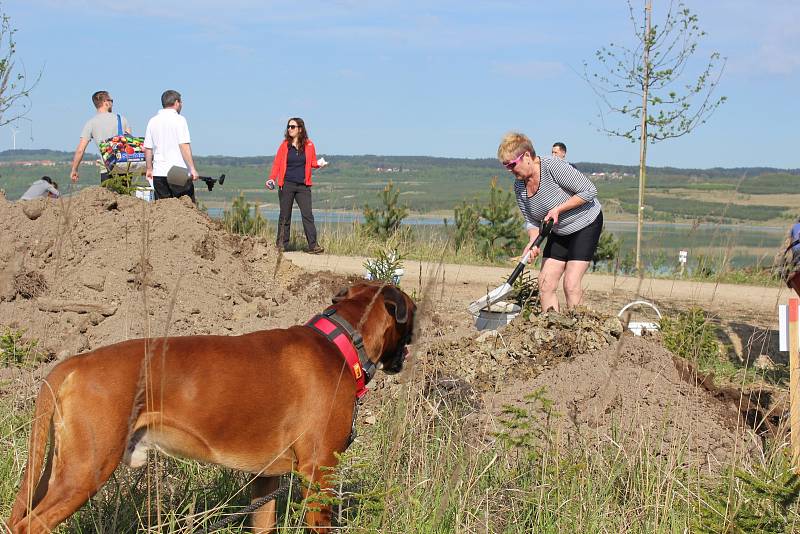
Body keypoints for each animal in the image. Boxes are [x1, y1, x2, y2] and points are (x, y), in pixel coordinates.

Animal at [6, 282, 416, 532]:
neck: (342, 341)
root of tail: (71, 364)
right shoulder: (319, 473)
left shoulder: (264, 480)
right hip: (84, 471)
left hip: (59, 469)